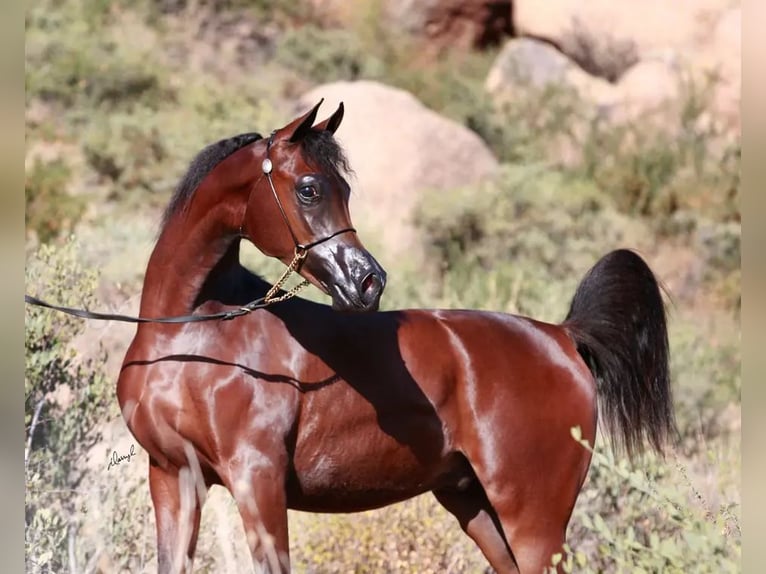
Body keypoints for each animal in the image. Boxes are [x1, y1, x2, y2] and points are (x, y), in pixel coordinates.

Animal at [117, 102, 676, 574]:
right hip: (475, 506)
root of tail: (562, 337)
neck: (193, 335)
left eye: (342, 191)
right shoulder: (172, 477)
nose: (369, 281)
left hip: (534, 521)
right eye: (309, 189)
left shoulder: (258, 481)